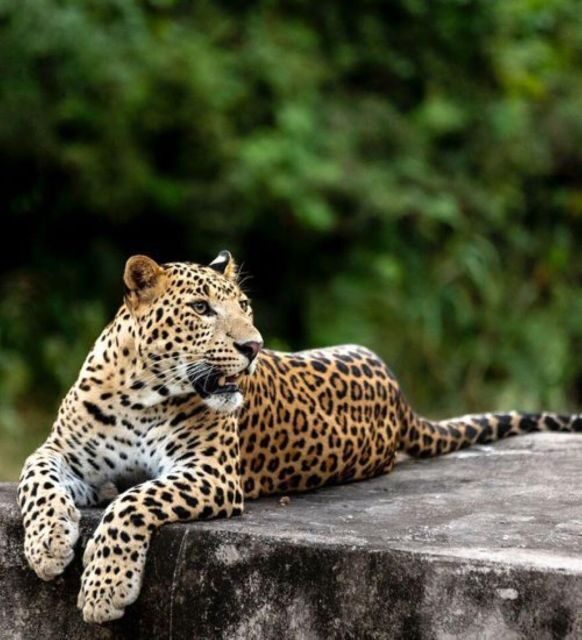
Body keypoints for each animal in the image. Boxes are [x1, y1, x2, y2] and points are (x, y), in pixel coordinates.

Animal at [17, 251, 582, 624]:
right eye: (201, 308)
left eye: (245, 305)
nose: (253, 346)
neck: (141, 391)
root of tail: (399, 392)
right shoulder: (63, 452)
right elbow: (36, 478)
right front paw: (47, 544)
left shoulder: (211, 472)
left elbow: (134, 502)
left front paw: (104, 588)